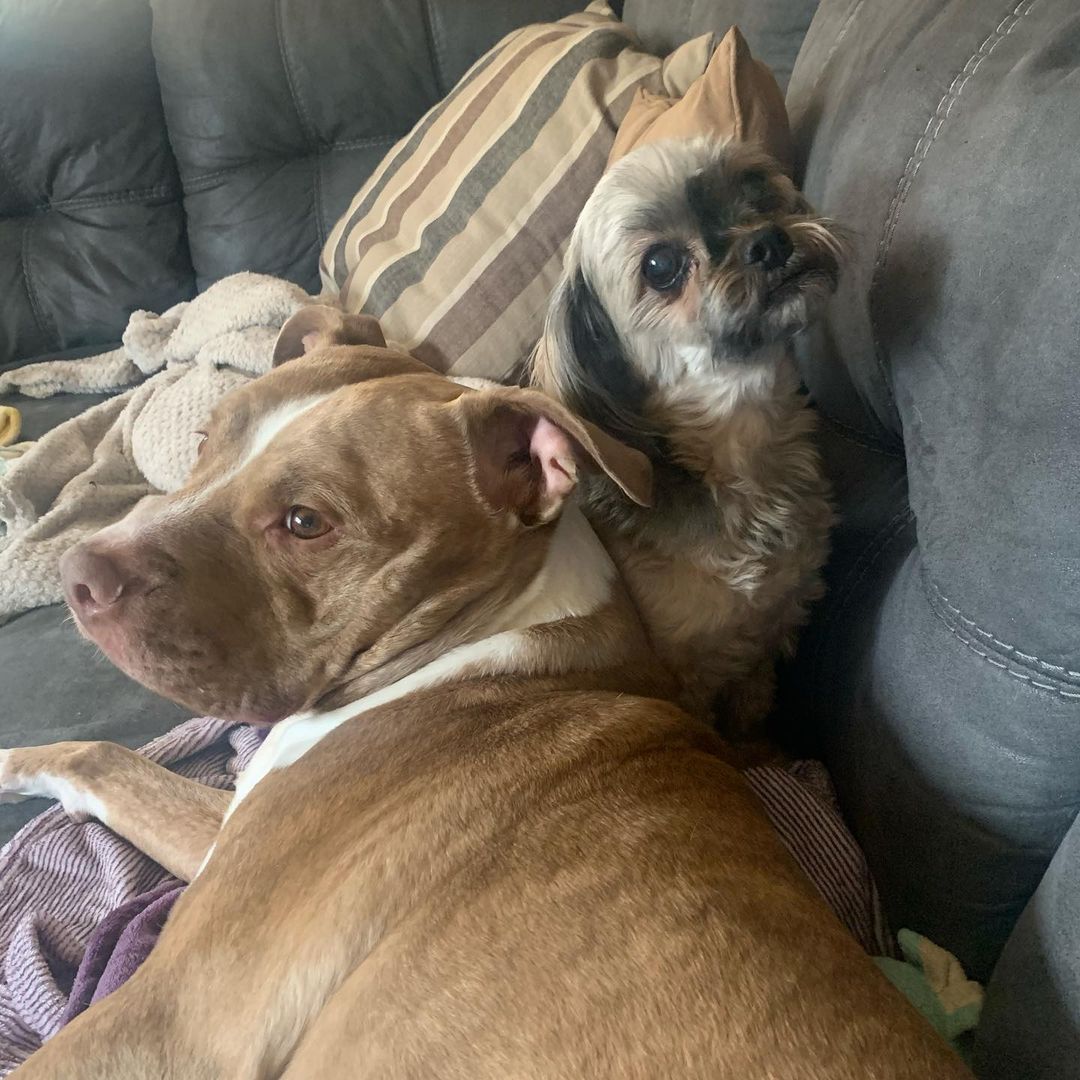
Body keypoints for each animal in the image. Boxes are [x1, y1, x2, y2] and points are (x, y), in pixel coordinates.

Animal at [0, 308, 972, 1075]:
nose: (81, 576)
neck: (483, 635)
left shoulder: (174, 1015)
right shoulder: (221, 841)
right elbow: (104, 758)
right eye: (208, 440)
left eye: (306, 522)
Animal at [531, 137, 842, 734]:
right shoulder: (686, 677)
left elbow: (752, 701)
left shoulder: (774, 622)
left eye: (757, 187)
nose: (768, 242)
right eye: (660, 266)